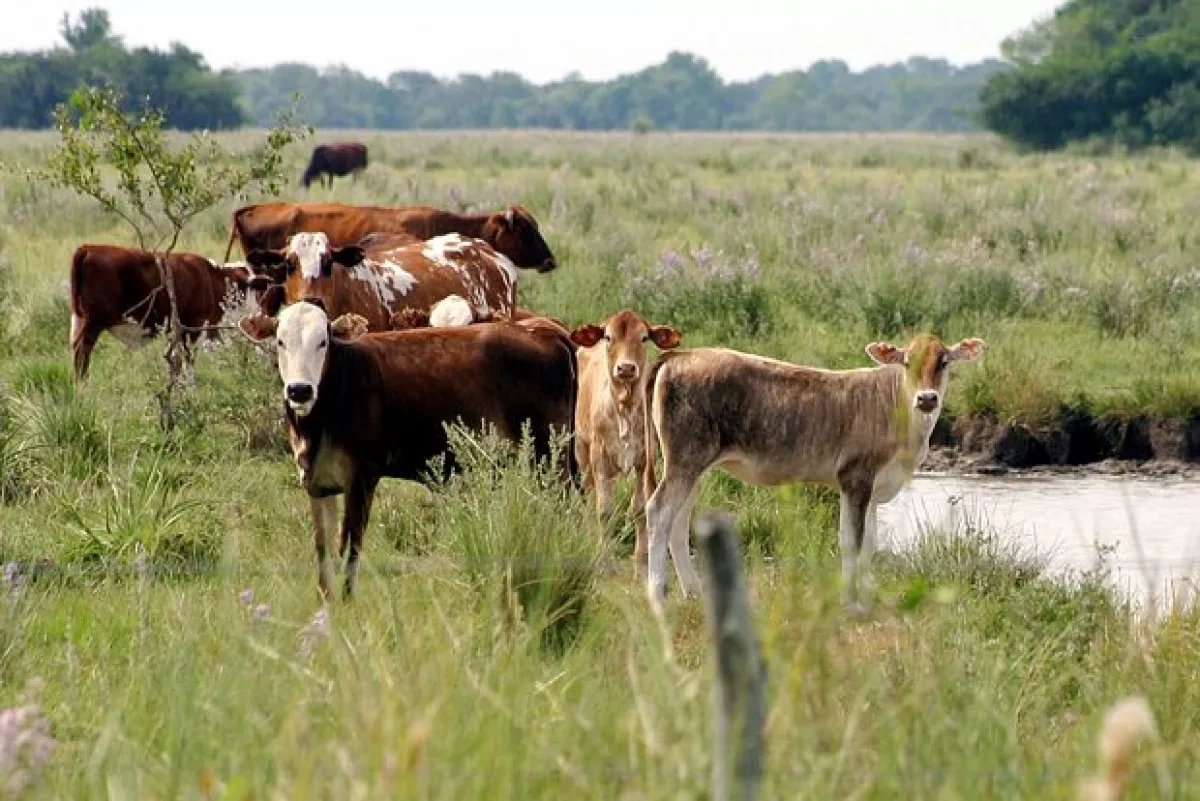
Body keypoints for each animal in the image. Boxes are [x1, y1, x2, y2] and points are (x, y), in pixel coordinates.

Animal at [68, 244, 272, 381]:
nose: (260, 311)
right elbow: (188, 363)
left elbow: (175, 363)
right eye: (256, 289)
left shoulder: (176, 331)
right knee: (82, 352)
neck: (214, 280)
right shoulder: (193, 328)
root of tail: (89, 248)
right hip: (94, 323)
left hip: (80, 319)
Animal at [238, 300, 580, 601]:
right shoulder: (318, 484)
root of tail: (545, 334)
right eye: (280, 341)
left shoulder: (362, 479)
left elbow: (349, 548)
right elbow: (324, 553)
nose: (300, 390)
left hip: (551, 458)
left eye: (323, 341)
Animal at [568, 310, 682, 577]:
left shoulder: (644, 460)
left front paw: (641, 566)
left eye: (643, 338)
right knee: (589, 496)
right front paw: (604, 561)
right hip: (582, 452)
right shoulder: (599, 459)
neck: (625, 409)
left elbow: (640, 510)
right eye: (609, 337)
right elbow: (604, 511)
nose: (626, 368)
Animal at [640, 333, 985, 616]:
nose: (927, 398)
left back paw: (693, 592)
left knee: (679, 521)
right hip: (685, 458)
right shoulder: (855, 478)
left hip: (692, 466)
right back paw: (657, 595)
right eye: (906, 361)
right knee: (659, 510)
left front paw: (869, 601)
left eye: (943, 361)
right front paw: (851, 604)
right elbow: (851, 541)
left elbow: (870, 544)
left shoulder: (875, 487)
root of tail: (681, 355)